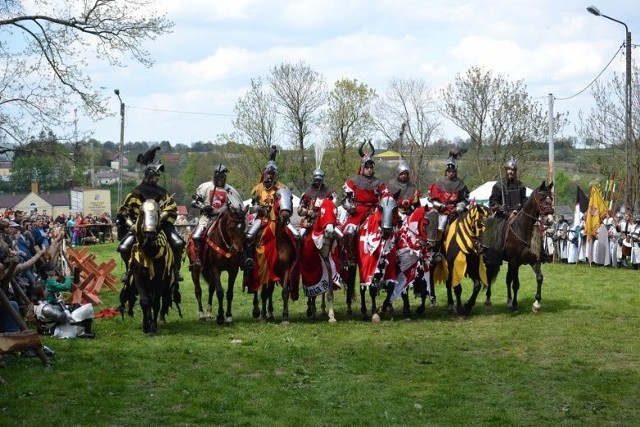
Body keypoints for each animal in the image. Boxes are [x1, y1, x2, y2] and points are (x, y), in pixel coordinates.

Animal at [245, 188, 300, 324]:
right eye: (278, 197)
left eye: (291, 197)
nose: (285, 215)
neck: (277, 241)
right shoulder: (265, 268)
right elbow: (264, 292)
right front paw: (263, 317)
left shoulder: (285, 268)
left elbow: (284, 292)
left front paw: (285, 317)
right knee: (257, 288)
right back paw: (257, 311)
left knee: (269, 291)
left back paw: (270, 313)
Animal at [484, 181, 556, 314]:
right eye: (541, 198)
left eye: (551, 198)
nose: (549, 221)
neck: (523, 229)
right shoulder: (515, 261)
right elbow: (516, 284)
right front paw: (515, 305)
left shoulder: (535, 260)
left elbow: (539, 278)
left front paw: (536, 304)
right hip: (491, 260)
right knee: (490, 275)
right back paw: (488, 299)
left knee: (507, 279)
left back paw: (508, 302)